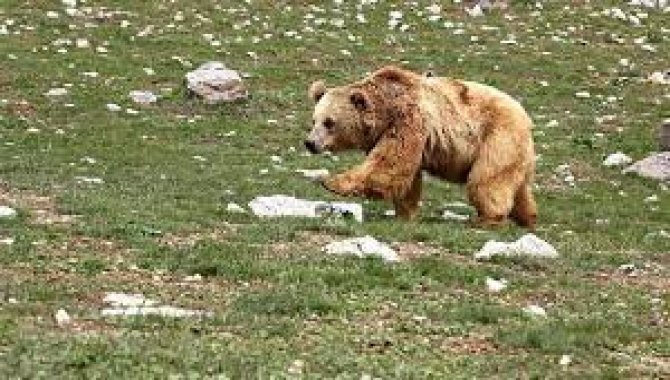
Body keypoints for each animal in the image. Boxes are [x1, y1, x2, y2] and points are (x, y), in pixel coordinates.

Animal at [304, 66, 540, 229]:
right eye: (314, 120)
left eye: (329, 122)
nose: (310, 143)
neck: (386, 110)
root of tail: (525, 117)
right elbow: (406, 176)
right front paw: (405, 213)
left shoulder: (408, 120)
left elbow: (389, 164)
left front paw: (330, 182)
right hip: (516, 152)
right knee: (517, 187)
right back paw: (528, 217)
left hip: (498, 137)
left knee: (486, 180)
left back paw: (487, 219)